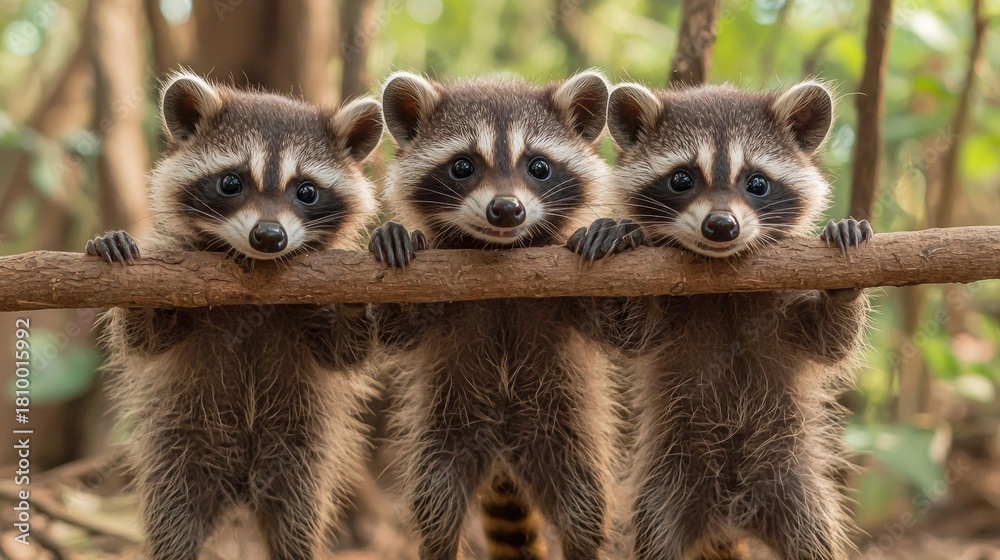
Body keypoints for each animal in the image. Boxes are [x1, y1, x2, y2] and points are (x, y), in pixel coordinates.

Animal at [85, 72, 384, 560]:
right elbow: (145, 340)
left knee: (295, 527)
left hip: (300, 456)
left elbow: (344, 354)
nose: (269, 236)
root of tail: (242, 488)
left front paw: (353, 297)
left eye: (306, 191)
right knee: (175, 525)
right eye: (231, 182)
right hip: (180, 451)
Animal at [368, 71, 619, 560]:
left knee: (583, 507)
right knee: (437, 505)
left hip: (560, 431)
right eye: (462, 167)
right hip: (449, 428)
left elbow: (612, 328)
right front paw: (396, 234)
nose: (506, 210)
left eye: (538, 167)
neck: (501, 250)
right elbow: (395, 332)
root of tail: (504, 449)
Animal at [569, 81, 871, 560]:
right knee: (657, 538)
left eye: (757, 183)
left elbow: (830, 342)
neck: (724, 282)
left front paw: (843, 290)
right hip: (667, 486)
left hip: (794, 487)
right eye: (681, 179)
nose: (721, 226)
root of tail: (728, 517)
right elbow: (633, 335)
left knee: (814, 541)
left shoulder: (778, 300)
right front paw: (622, 236)